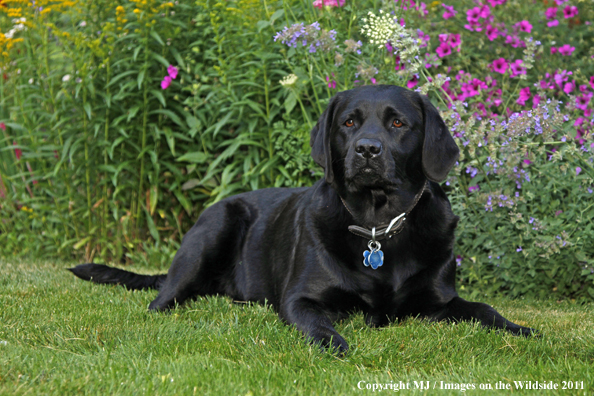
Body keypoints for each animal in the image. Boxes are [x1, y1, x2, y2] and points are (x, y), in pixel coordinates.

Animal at [70, 86, 536, 352]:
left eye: (399, 123)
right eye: (349, 121)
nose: (367, 150)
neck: (378, 226)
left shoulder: (441, 301)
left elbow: (486, 309)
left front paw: (521, 329)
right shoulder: (301, 299)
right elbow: (317, 324)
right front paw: (337, 345)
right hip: (214, 228)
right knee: (161, 299)